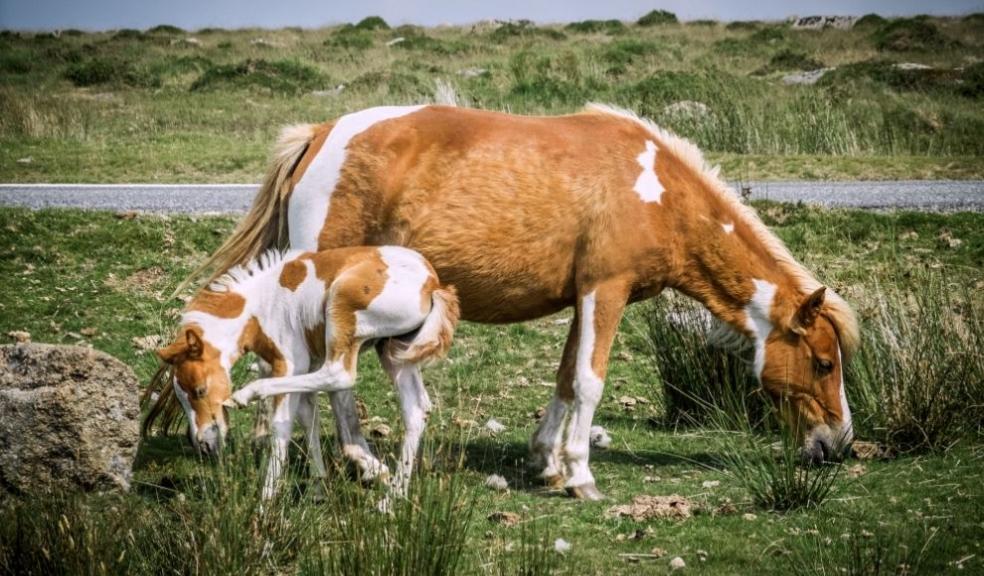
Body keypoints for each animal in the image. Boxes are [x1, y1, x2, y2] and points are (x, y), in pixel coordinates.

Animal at [144, 246, 460, 500]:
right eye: (182, 398)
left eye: (200, 390)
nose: (204, 444)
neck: (261, 306)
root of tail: (433, 284)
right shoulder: (307, 366)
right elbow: (310, 419)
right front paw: (319, 488)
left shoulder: (291, 362)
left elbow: (282, 424)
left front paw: (265, 502)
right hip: (394, 351)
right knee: (416, 408)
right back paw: (391, 498)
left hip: (342, 309)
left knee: (340, 373)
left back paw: (246, 393)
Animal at [181, 103, 856, 500]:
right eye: (824, 362)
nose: (838, 445)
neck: (654, 190)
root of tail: (320, 136)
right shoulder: (605, 291)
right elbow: (589, 381)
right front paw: (580, 473)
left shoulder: (583, 297)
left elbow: (564, 378)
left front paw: (546, 459)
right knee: (332, 383)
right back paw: (365, 463)